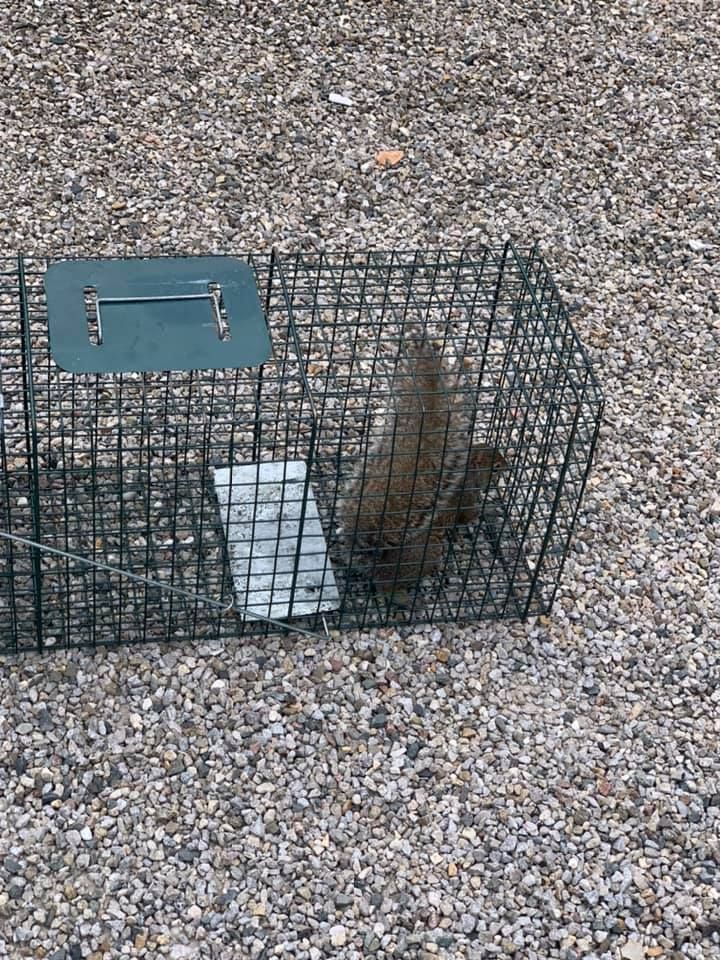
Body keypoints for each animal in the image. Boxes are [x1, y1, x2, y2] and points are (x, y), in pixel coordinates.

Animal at [341, 337, 507, 593]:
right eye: (496, 467)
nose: (508, 465)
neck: (470, 468)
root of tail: (375, 562)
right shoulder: (467, 494)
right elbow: (469, 514)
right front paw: (487, 511)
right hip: (428, 553)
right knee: (387, 586)